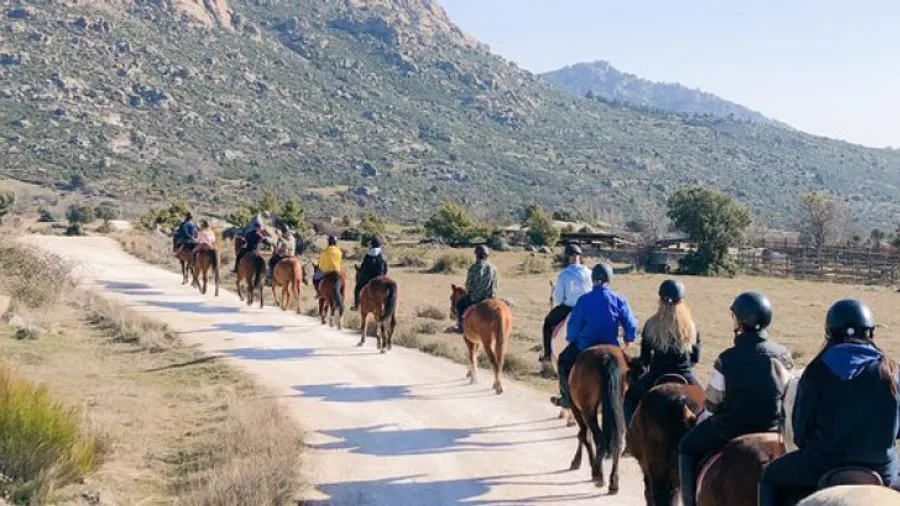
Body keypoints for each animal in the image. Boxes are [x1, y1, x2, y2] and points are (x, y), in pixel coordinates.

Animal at [566, 344, 641, 493]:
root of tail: (606, 356)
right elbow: (584, 435)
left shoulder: (576, 409)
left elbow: (583, 435)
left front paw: (583, 462)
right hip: (617, 407)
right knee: (617, 439)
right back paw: (613, 482)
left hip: (587, 410)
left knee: (599, 437)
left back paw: (598, 475)